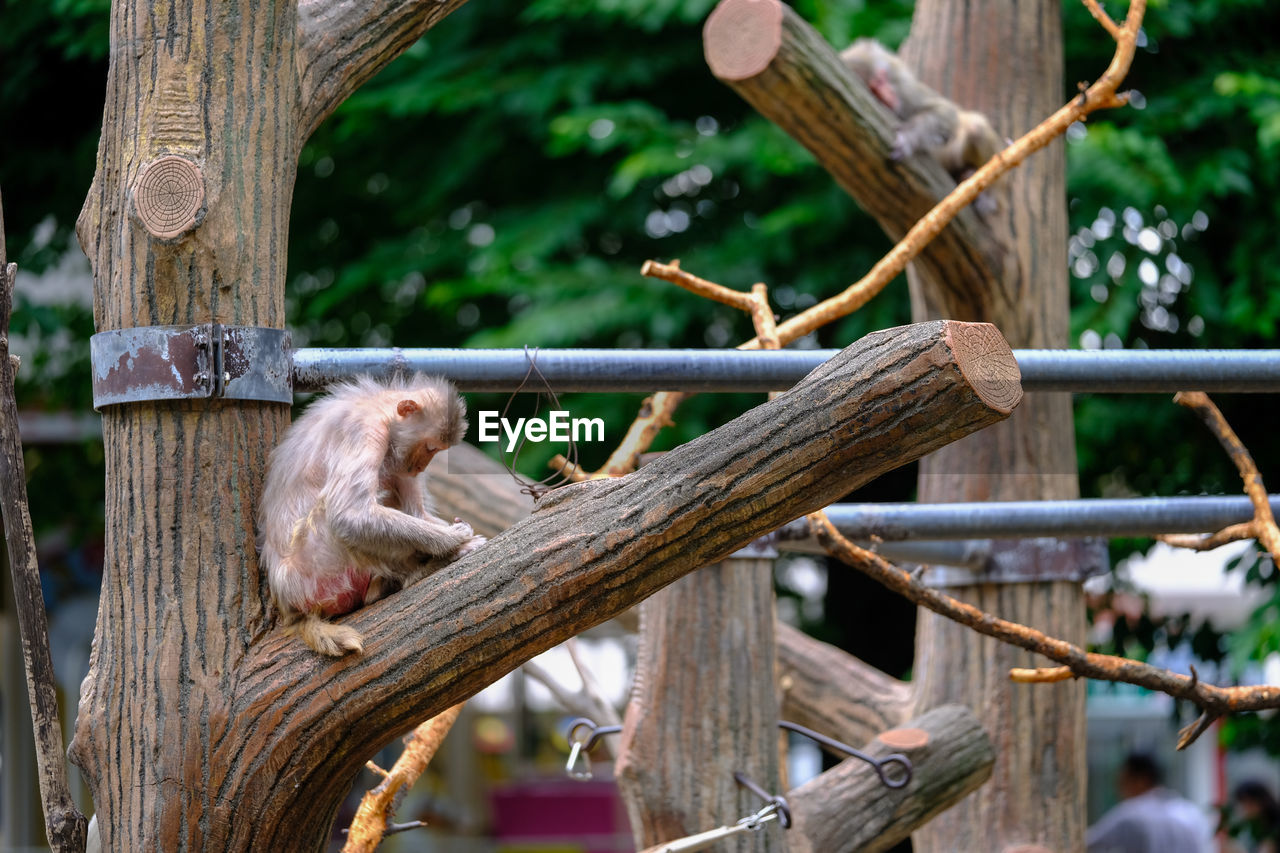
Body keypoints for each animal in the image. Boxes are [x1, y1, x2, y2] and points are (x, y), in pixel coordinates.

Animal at [258, 373, 483, 655]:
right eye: (431, 447)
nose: (421, 466)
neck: (379, 407)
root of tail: (288, 604)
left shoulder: (399, 460)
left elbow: (415, 511)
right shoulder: (366, 430)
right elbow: (349, 516)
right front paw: (455, 540)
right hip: (318, 571)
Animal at [844, 37, 1003, 212]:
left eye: (881, 79)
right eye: (873, 89)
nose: (886, 95)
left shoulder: (904, 89)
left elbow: (944, 112)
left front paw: (908, 138)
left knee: (976, 129)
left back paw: (991, 190)